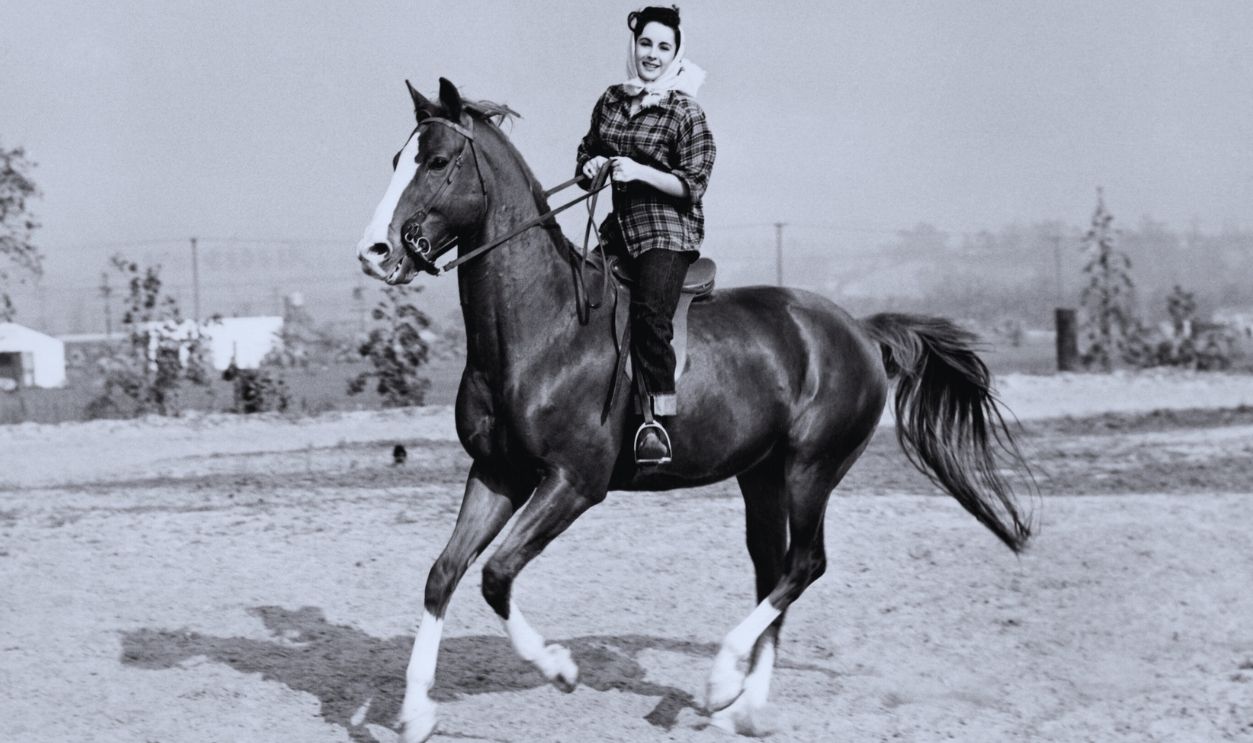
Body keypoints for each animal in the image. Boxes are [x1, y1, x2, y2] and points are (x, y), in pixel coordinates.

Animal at [355, 78, 1033, 742]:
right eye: (394, 159)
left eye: (437, 161)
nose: (374, 252)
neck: (543, 331)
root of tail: (862, 331)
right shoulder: (498, 473)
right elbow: (445, 572)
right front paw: (415, 713)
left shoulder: (573, 483)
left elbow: (496, 574)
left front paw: (561, 668)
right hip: (762, 475)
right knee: (773, 570)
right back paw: (745, 707)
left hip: (811, 468)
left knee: (804, 565)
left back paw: (721, 681)